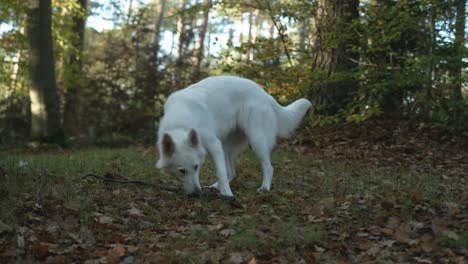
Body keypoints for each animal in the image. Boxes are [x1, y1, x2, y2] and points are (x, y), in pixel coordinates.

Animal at [155, 76, 312, 196]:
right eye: (182, 171)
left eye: (196, 167)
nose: (196, 193)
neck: (181, 123)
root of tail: (264, 93)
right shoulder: (215, 147)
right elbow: (223, 172)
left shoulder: (214, 144)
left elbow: (220, 171)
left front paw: (228, 195)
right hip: (226, 146)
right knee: (231, 172)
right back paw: (215, 187)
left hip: (256, 141)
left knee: (268, 168)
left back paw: (264, 188)